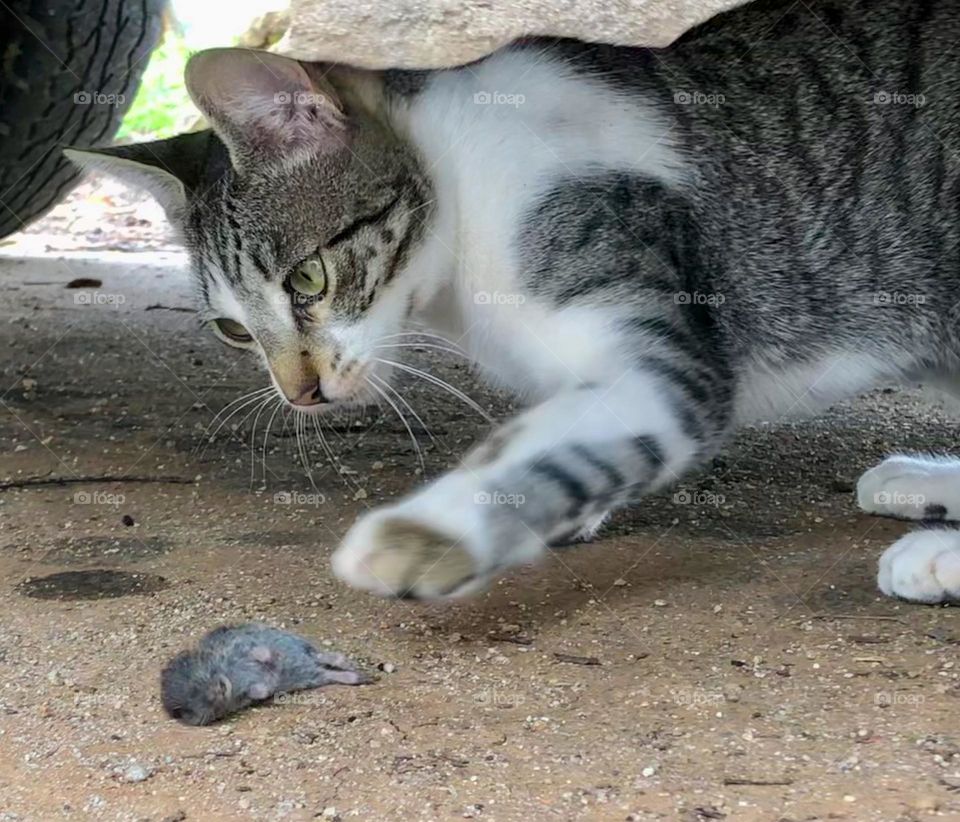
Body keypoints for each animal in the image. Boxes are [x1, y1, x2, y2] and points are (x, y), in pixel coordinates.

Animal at [67, 0, 960, 604]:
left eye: (307, 281)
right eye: (230, 329)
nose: (302, 393)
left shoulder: (662, 358)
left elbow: (551, 444)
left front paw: (430, 532)